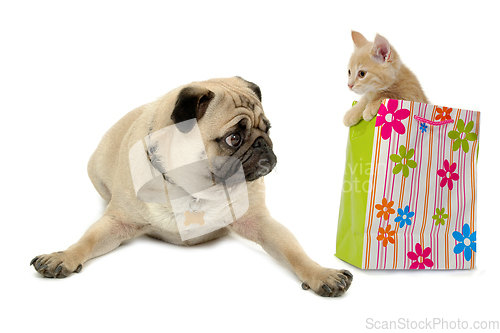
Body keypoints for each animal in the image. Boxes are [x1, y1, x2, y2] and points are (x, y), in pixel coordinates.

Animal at [30, 77, 352, 296]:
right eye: (233, 138)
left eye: (268, 129)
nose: (263, 145)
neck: (196, 190)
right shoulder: (117, 222)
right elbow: (86, 241)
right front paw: (63, 257)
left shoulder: (259, 222)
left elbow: (294, 251)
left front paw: (321, 273)